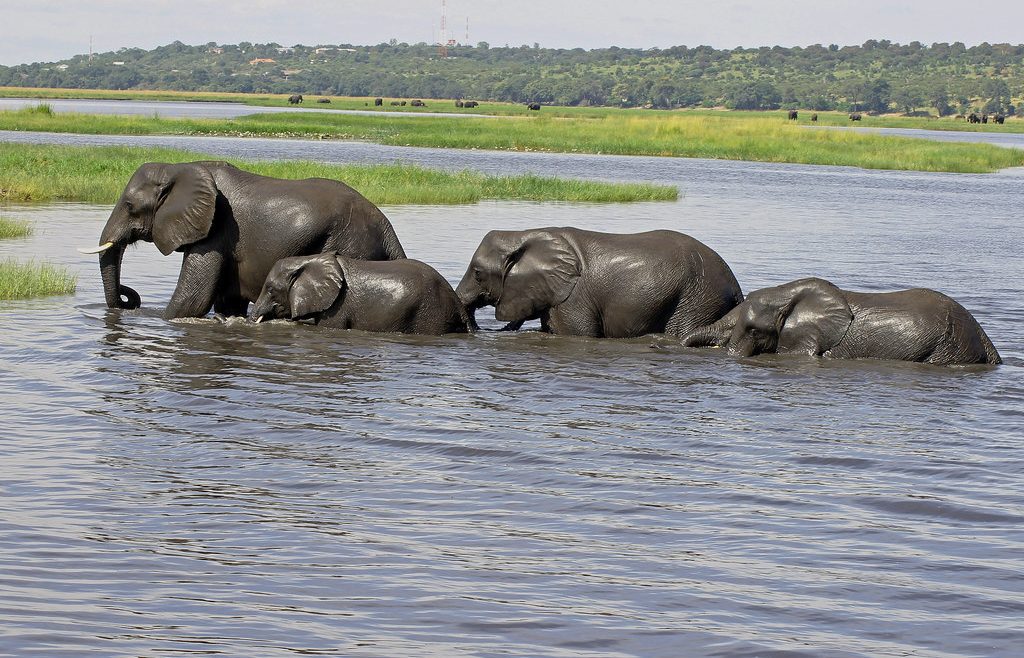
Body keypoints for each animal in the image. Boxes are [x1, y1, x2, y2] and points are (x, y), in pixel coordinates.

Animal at [79, 161, 407, 320]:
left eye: (130, 206)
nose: (128, 299)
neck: (178, 167)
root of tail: (387, 229)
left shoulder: (216, 228)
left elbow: (192, 300)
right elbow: (226, 302)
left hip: (352, 242)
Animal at [249, 252, 469, 335]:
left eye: (270, 290)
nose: (250, 319)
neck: (307, 259)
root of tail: (456, 301)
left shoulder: (338, 307)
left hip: (429, 315)